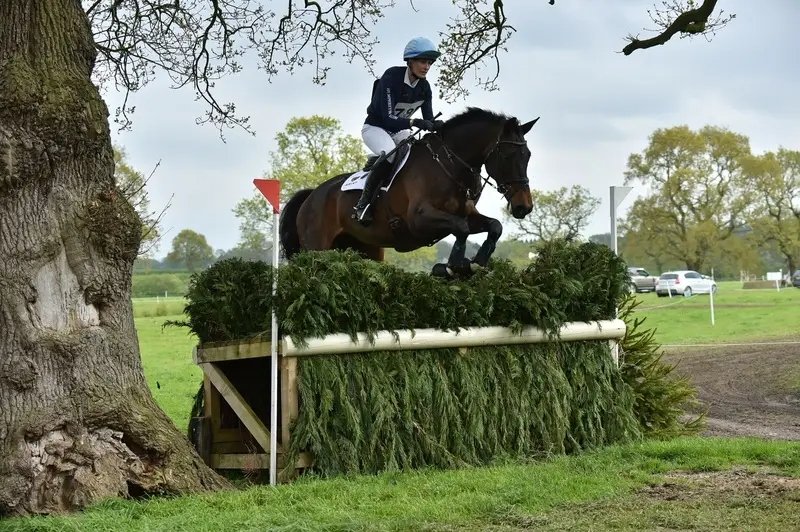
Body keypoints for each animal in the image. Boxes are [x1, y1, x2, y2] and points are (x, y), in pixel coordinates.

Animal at [279, 107, 538, 275]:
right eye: (508, 155)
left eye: (528, 156)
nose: (524, 207)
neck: (449, 164)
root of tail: (312, 195)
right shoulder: (419, 220)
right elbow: (461, 229)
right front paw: (452, 267)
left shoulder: (467, 215)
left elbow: (494, 226)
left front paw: (477, 261)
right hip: (317, 248)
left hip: (366, 249)